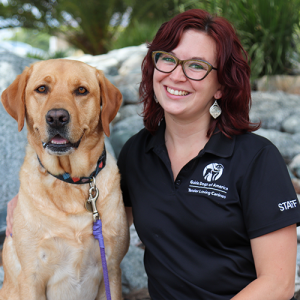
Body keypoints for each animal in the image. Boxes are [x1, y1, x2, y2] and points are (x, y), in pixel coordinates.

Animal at [0, 59, 129, 300]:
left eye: (81, 90)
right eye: (42, 89)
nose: (57, 118)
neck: (70, 181)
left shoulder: (112, 270)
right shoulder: (31, 277)